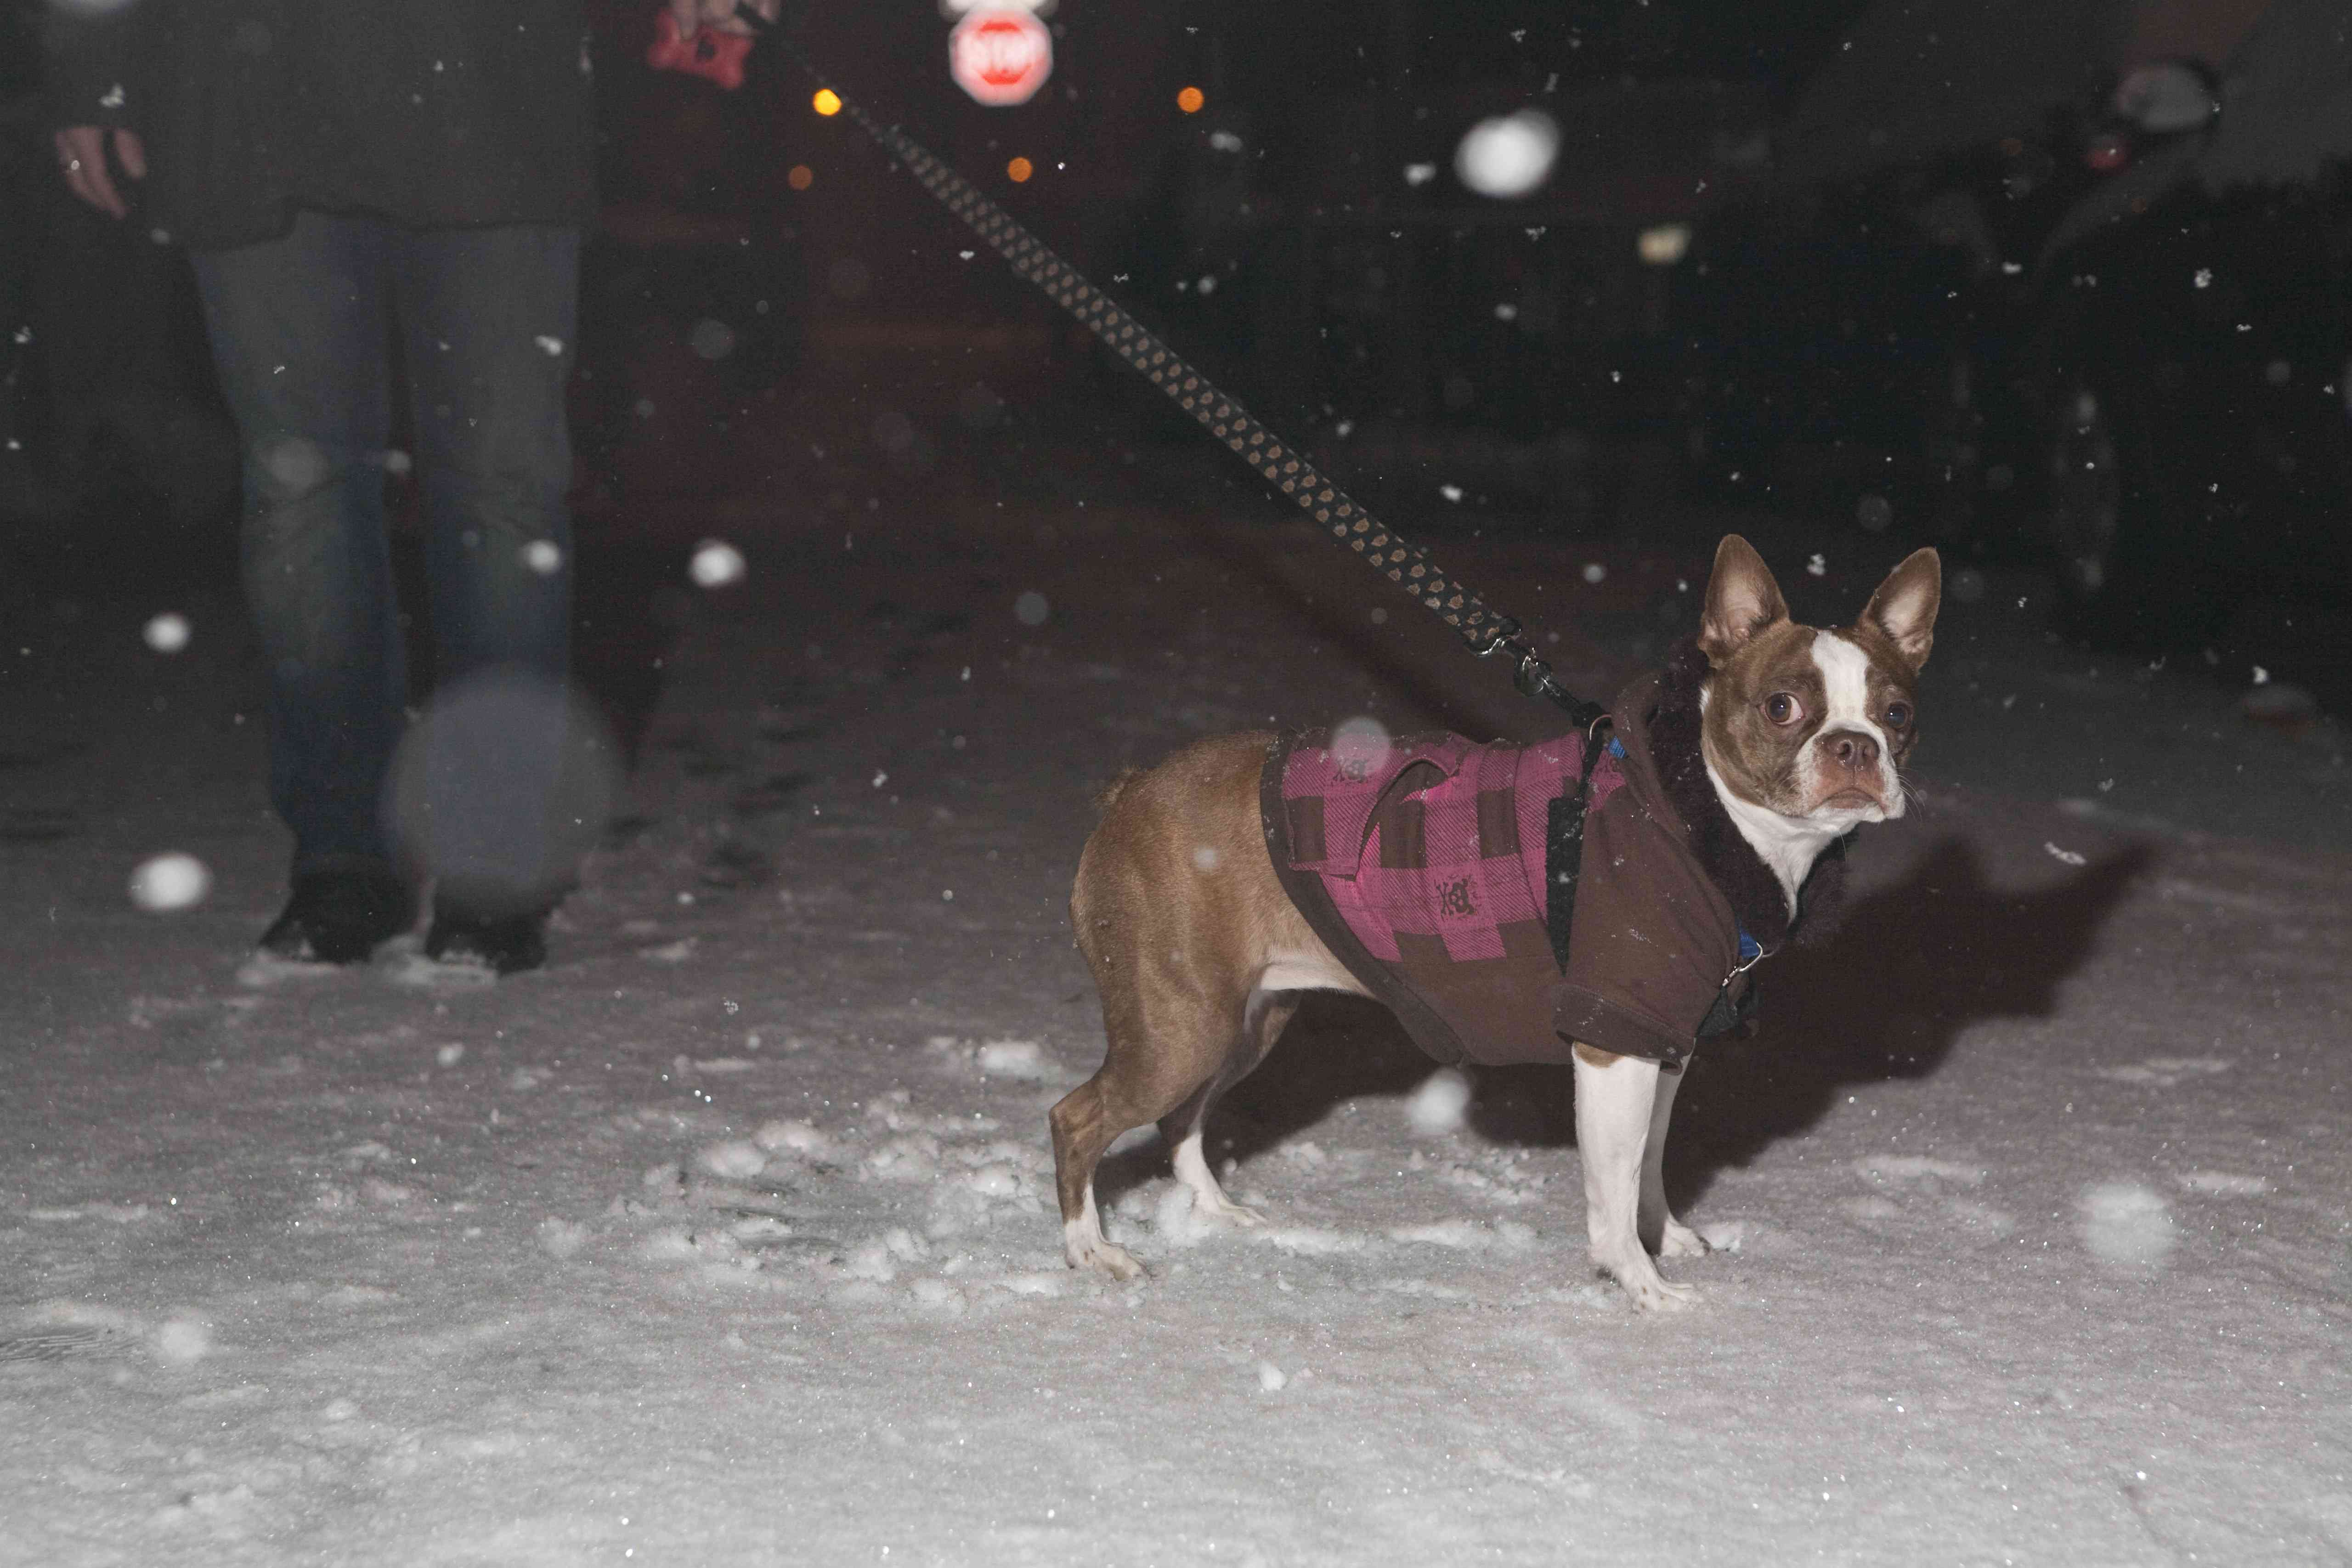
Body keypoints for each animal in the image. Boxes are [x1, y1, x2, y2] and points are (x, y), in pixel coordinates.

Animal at [1058, 540, 1938, 1316]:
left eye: (1898, 714)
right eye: (1783, 707)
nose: (1854, 747)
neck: (1703, 819)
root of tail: (1130, 791)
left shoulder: (1666, 1042)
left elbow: (1651, 1163)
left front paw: (1668, 1240)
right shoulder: (1613, 1039)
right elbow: (1615, 1184)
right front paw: (1641, 1285)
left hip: (1246, 1022)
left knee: (1181, 1117)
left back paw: (1214, 1212)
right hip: (1182, 1025)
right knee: (1079, 1117)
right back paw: (1090, 1250)